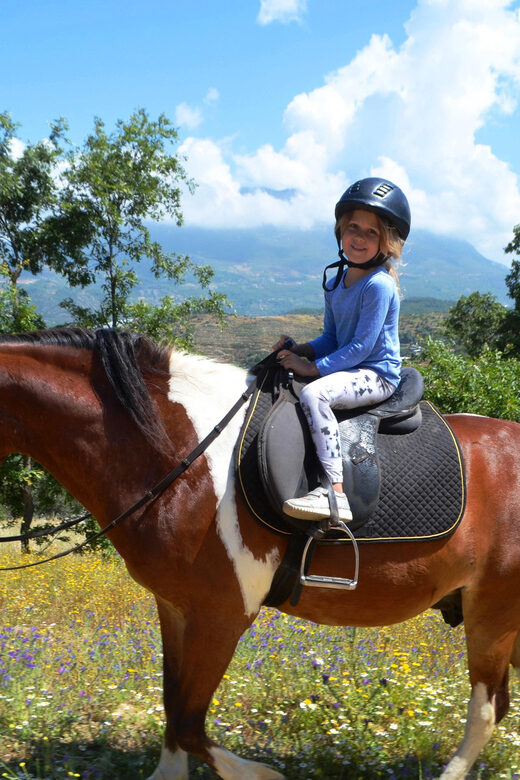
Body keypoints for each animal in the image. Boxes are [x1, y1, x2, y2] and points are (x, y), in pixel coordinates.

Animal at [0, 327, 519, 780]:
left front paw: (261, 774)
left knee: (487, 708)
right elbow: (172, 707)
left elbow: (188, 723)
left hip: (492, 612)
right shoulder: (175, 607)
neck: (179, 453)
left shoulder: (222, 614)